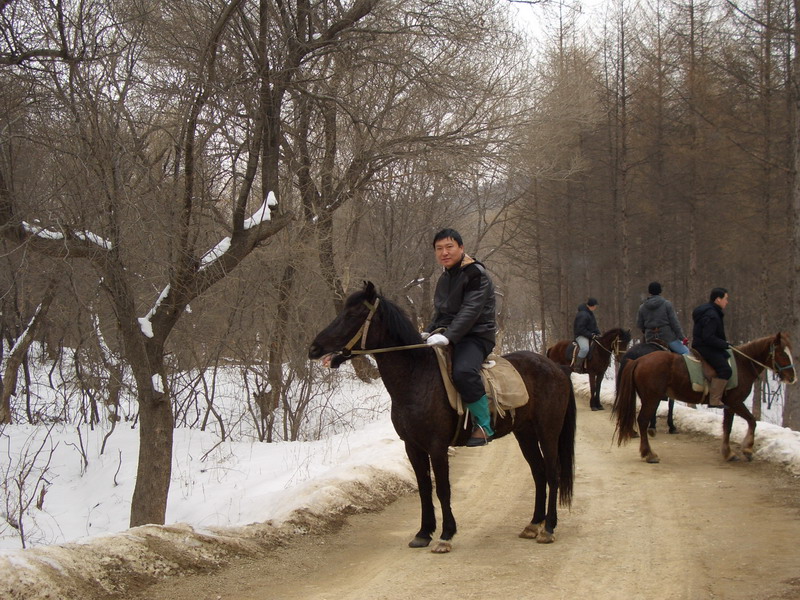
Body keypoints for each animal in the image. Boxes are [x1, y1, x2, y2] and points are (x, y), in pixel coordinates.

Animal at [306, 282, 576, 552]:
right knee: (539, 472)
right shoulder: (412, 446)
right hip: (525, 433)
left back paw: (548, 528)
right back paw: (533, 524)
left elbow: (443, 490)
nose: (314, 348)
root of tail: (557, 368)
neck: (417, 377)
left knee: (552, 473)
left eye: (353, 314)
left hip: (548, 432)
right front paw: (424, 532)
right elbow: (425, 488)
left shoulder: (437, 446)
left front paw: (446, 535)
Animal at [612, 332, 792, 464]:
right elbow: (751, 421)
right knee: (642, 420)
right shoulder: (735, 402)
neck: (742, 364)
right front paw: (746, 449)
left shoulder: (728, 405)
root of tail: (638, 360)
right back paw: (649, 454)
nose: (792, 377)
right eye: (782, 353)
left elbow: (728, 426)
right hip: (651, 398)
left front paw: (728, 453)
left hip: (648, 397)